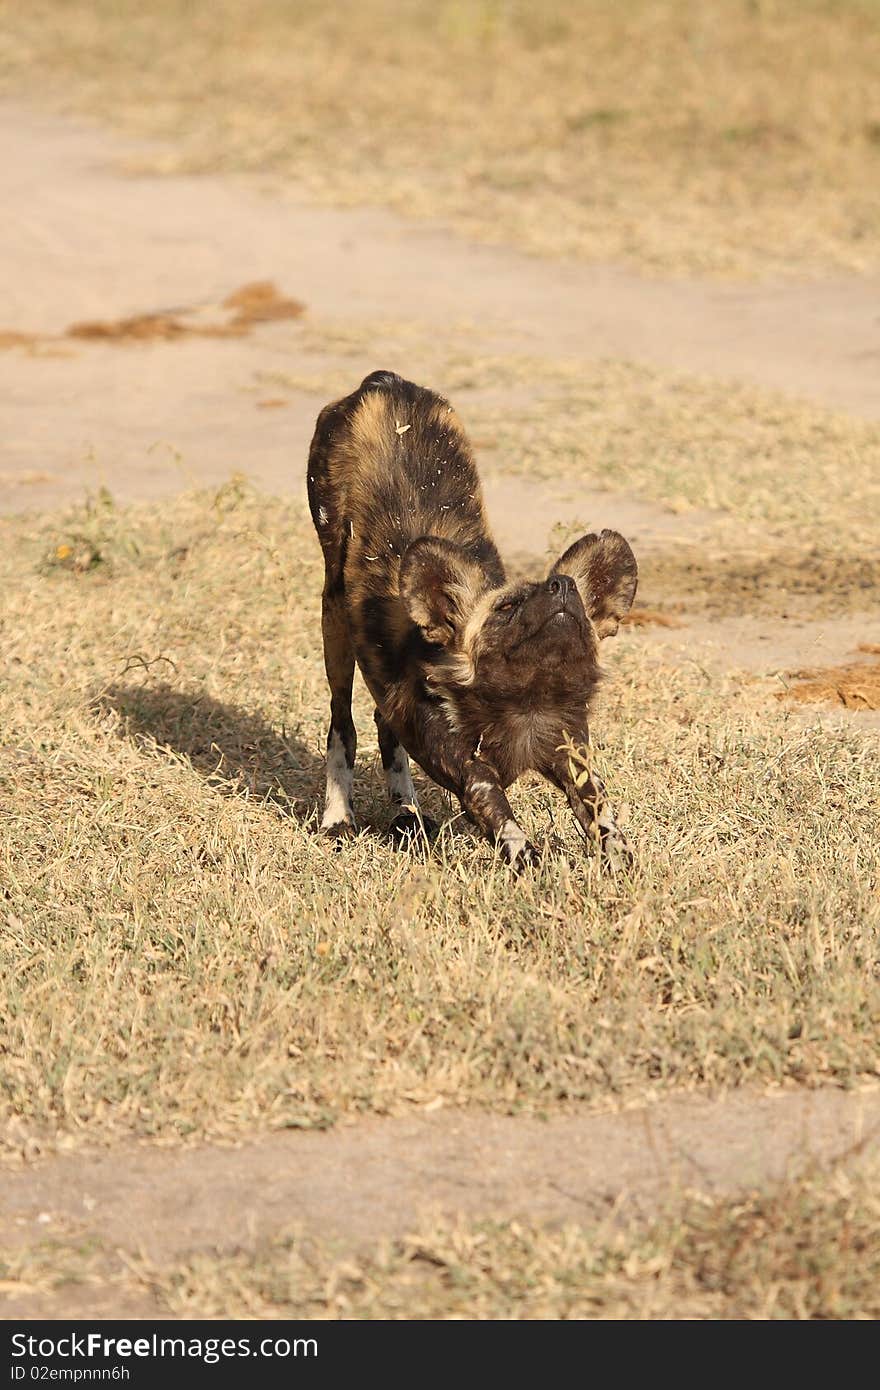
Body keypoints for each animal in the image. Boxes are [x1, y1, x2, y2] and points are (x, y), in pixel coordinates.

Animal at [305, 369, 633, 867]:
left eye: (574, 593)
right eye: (506, 607)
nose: (562, 586)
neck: (526, 703)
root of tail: (383, 382)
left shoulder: (570, 752)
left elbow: (602, 816)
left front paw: (622, 864)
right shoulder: (472, 774)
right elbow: (508, 826)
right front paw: (532, 867)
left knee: (385, 724)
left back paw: (406, 815)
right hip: (334, 622)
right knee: (342, 722)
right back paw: (337, 819)